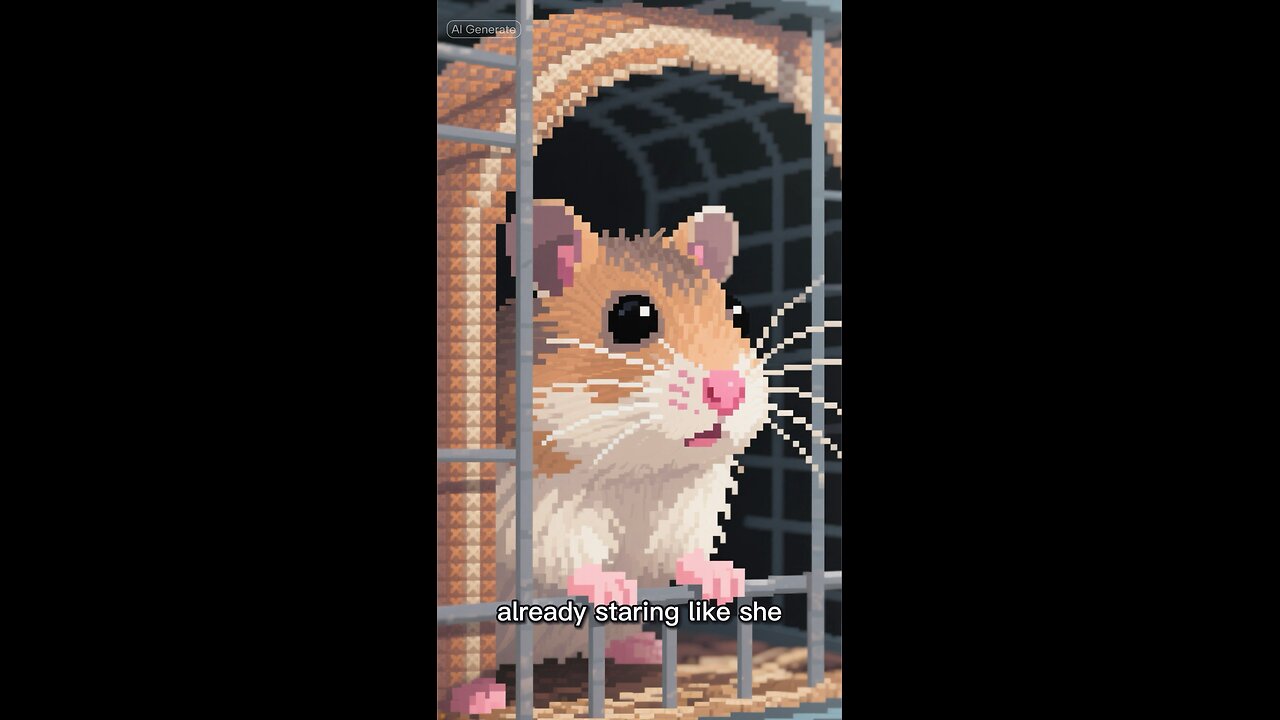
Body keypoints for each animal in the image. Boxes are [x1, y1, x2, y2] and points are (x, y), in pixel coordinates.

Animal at [494, 199, 769, 664]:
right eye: (631, 317)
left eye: (736, 314)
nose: (730, 391)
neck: (639, 470)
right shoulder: (537, 503)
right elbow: (564, 555)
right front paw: (612, 587)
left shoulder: (690, 507)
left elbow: (689, 552)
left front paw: (727, 579)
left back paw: (644, 648)